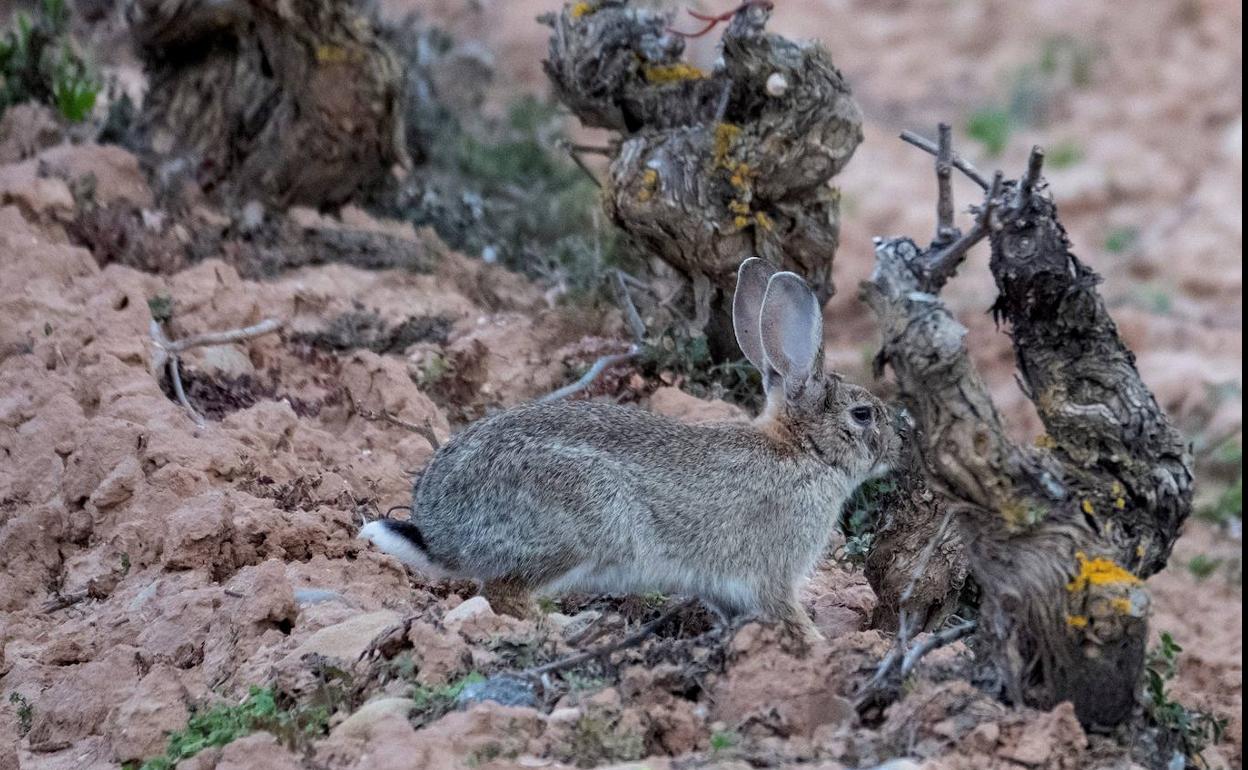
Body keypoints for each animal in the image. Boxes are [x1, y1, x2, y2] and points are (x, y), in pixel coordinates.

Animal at [361, 257, 898, 636]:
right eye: (863, 414)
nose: (897, 448)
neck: (804, 451)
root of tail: (440, 531)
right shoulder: (773, 575)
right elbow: (788, 616)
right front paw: (818, 647)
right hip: (577, 525)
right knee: (503, 595)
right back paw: (570, 627)